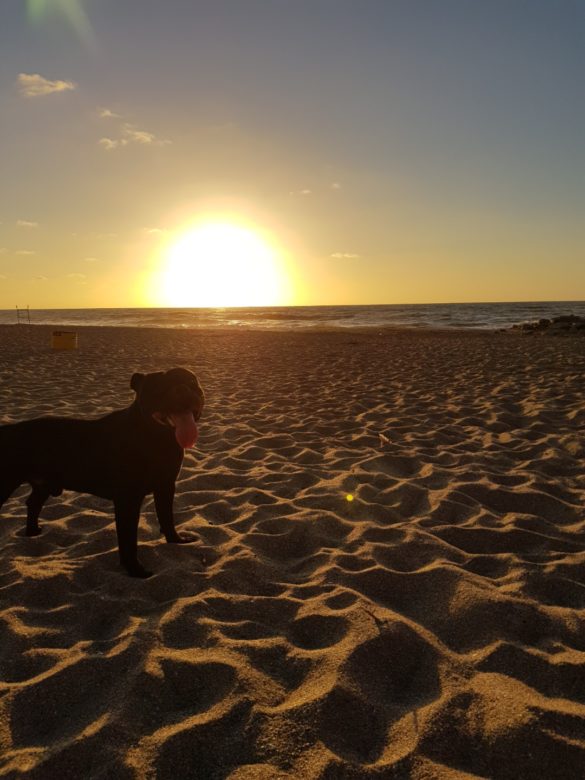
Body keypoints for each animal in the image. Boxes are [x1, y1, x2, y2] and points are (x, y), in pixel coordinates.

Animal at [0, 368, 204, 576]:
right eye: (157, 388)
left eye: (191, 382)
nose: (182, 389)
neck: (158, 439)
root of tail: (7, 430)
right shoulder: (128, 500)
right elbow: (128, 538)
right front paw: (135, 570)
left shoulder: (165, 486)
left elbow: (167, 517)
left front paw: (176, 540)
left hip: (44, 485)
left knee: (33, 503)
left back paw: (32, 532)